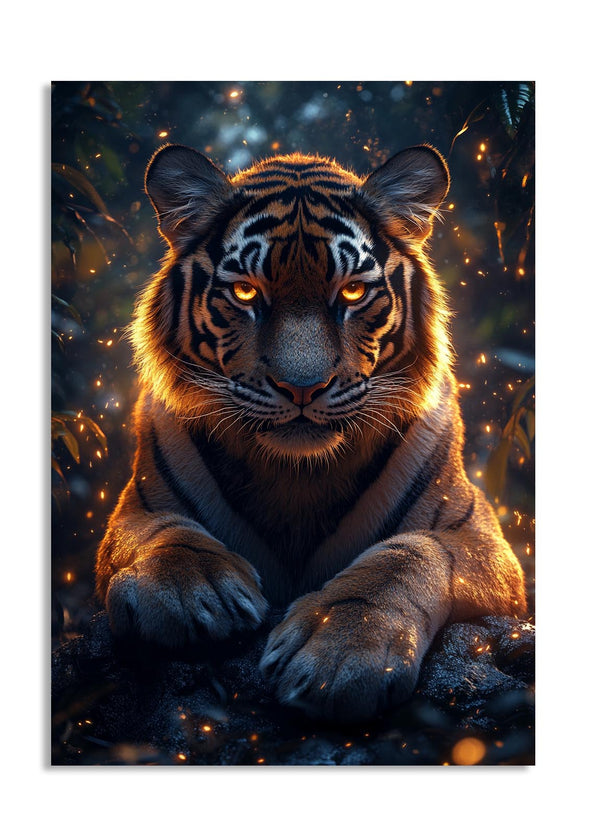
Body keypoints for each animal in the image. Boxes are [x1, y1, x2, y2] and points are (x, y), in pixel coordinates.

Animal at [95, 142, 526, 723]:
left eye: (352, 291)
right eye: (245, 291)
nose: (303, 387)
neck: (295, 477)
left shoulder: (477, 536)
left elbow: (408, 553)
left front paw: (342, 651)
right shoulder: (136, 508)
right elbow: (162, 531)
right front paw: (188, 591)